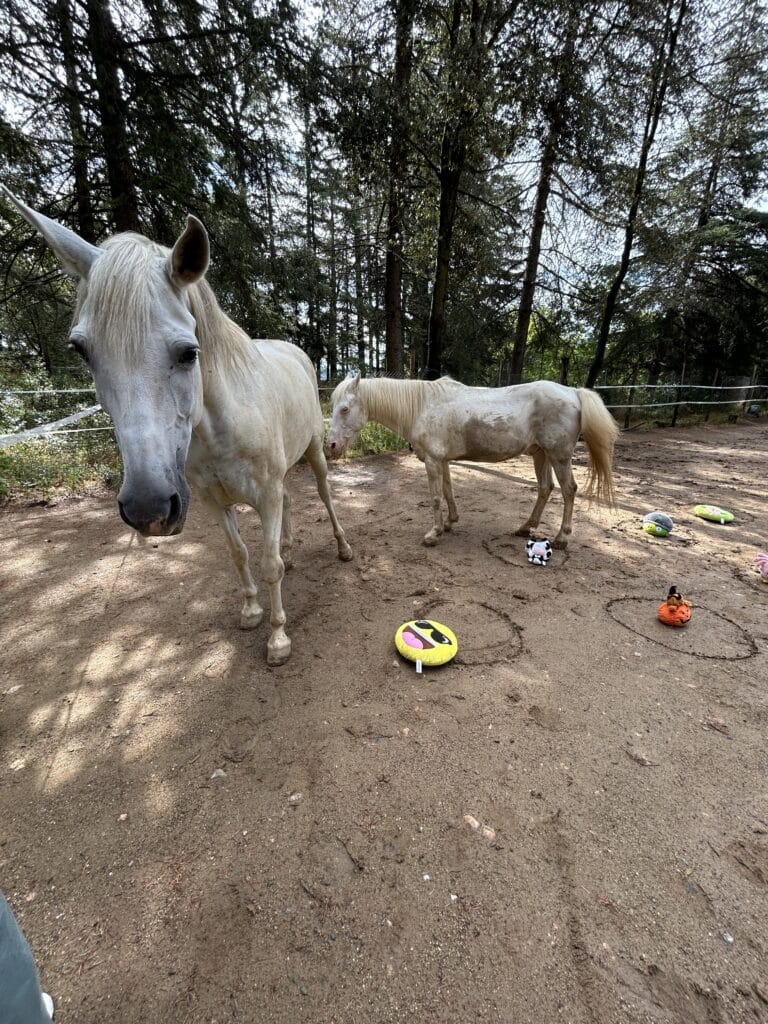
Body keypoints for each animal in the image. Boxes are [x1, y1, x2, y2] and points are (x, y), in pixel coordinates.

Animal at [1, 191, 352, 667]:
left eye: (189, 352)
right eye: (82, 351)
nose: (146, 507)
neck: (219, 429)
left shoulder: (264, 494)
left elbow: (269, 565)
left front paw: (279, 639)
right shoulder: (213, 501)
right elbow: (240, 554)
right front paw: (251, 611)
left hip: (315, 452)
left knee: (324, 496)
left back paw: (342, 547)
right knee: (291, 504)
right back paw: (293, 549)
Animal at [329, 376, 618, 548]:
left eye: (344, 409)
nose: (330, 446)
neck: (422, 406)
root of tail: (573, 392)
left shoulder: (432, 461)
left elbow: (435, 497)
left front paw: (433, 533)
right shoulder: (442, 460)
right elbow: (448, 491)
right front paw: (449, 523)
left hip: (559, 456)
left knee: (569, 491)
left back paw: (561, 538)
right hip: (540, 454)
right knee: (545, 488)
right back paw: (525, 528)